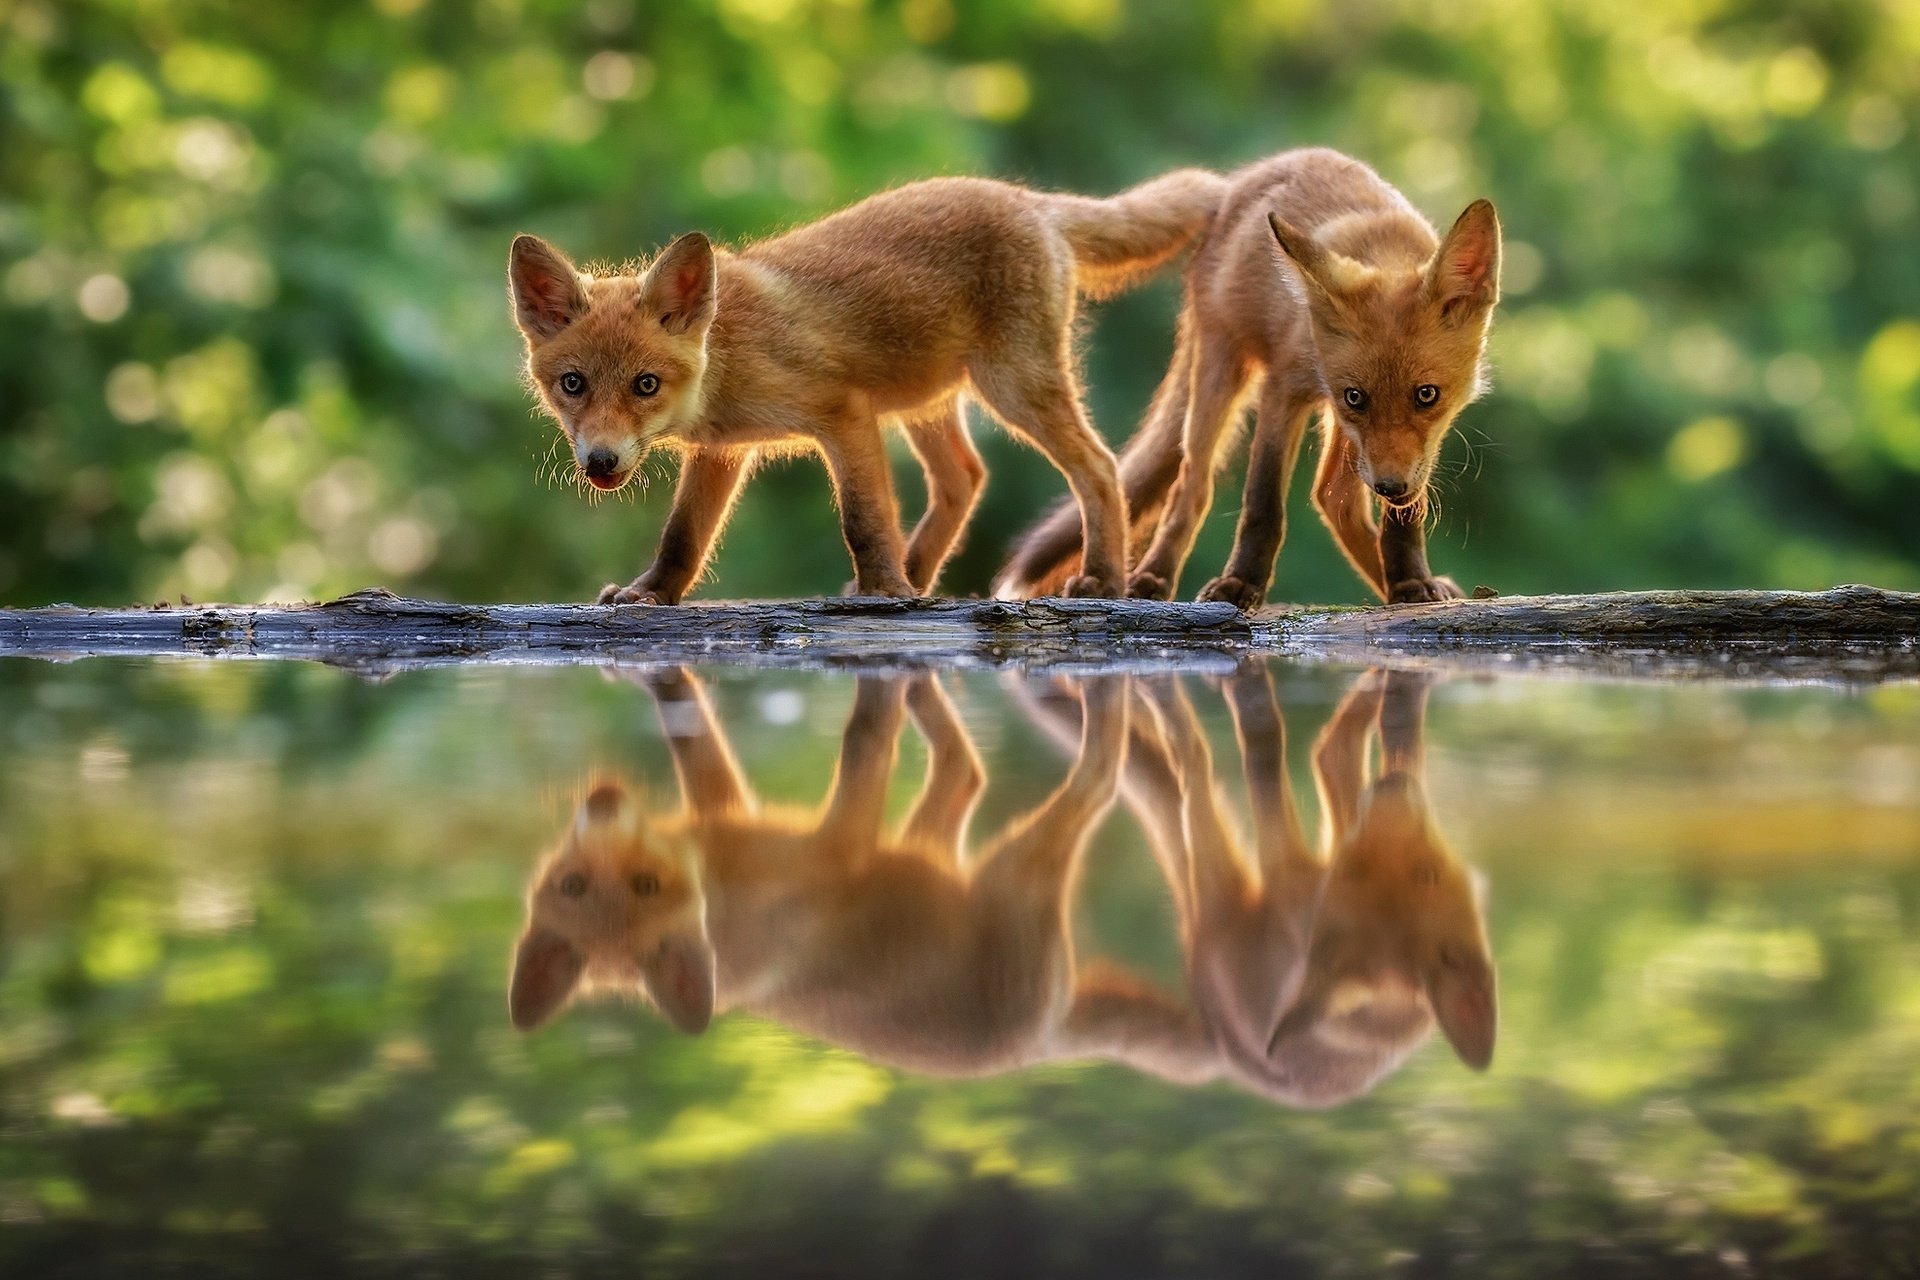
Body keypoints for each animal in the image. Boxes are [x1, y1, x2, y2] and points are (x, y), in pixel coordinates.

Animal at [507, 170, 1225, 604]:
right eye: (573, 384)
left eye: (645, 384)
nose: (600, 462)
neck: (726, 361)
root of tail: (1028, 198)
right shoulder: (722, 451)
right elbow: (683, 536)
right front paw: (651, 594)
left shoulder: (843, 412)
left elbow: (862, 519)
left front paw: (884, 590)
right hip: (925, 404)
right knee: (965, 479)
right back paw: (923, 575)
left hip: (1013, 385)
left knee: (1099, 468)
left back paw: (1102, 578)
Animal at [994, 148, 1503, 610]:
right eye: (1356, 396)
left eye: (1426, 395)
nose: (1389, 487)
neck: (1383, 248)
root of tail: (1232, 185)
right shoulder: (1285, 388)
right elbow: (1263, 501)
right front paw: (1241, 584)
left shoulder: (1415, 442)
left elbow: (1404, 515)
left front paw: (1410, 582)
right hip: (1221, 371)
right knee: (1191, 484)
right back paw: (1152, 578)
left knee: (1334, 499)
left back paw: (1396, 585)